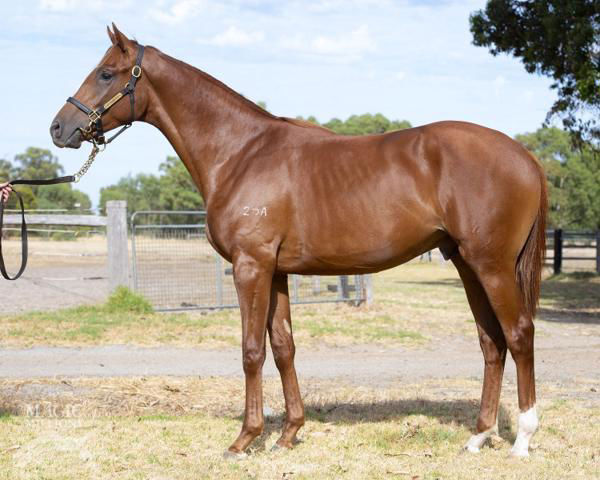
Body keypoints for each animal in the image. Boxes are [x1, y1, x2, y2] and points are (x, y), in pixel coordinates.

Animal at [51, 25, 548, 458]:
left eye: (106, 73)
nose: (59, 128)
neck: (240, 153)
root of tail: (524, 156)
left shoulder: (250, 266)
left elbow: (252, 351)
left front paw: (244, 439)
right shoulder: (276, 272)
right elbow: (283, 348)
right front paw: (289, 433)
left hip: (492, 265)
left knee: (519, 334)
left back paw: (523, 439)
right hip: (466, 264)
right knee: (491, 343)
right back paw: (478, 437)